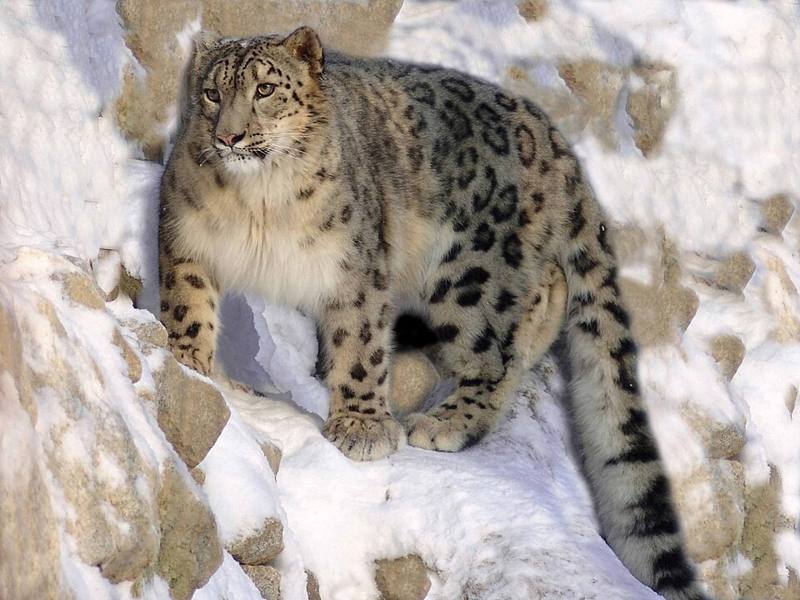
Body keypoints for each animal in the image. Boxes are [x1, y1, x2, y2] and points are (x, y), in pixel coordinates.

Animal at [157, 26, 711, 600]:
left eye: (265, 89)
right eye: (212, 93)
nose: (229, 137)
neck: (259, 204)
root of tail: (556, 141)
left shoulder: (357, 268)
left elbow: (361, 346)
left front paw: (361, 427)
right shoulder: (187, 238)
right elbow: (188, 304)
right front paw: (188, 360)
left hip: (472, 275)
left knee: (497, 347)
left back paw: (446, 421)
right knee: (547, 295)